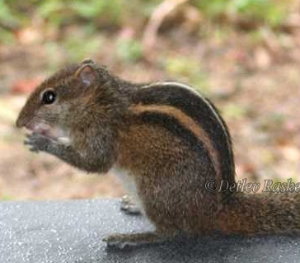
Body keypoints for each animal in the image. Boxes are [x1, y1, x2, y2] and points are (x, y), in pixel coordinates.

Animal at [15, 59, 300, 250]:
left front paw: (43, 141)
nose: (19, 122)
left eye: (49, 97)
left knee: (171, 232)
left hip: (156, 190)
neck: (102, 103)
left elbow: (94, 163)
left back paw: (130, 239)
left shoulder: (103, 134)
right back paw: (134, 207)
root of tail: (220, 208)